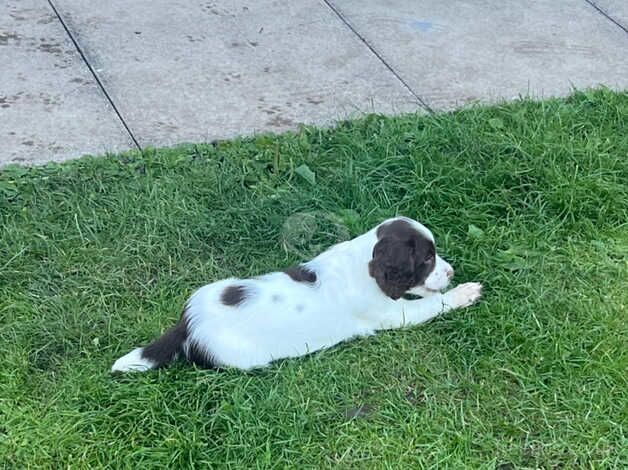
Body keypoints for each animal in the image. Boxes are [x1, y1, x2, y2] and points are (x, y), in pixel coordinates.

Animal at [111, 215, 480, 372]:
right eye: (427, 259)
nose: (451, 271)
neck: (361, 262)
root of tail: (187, 323)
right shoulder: (392, 314)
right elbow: (432, 303)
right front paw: (466, 292)